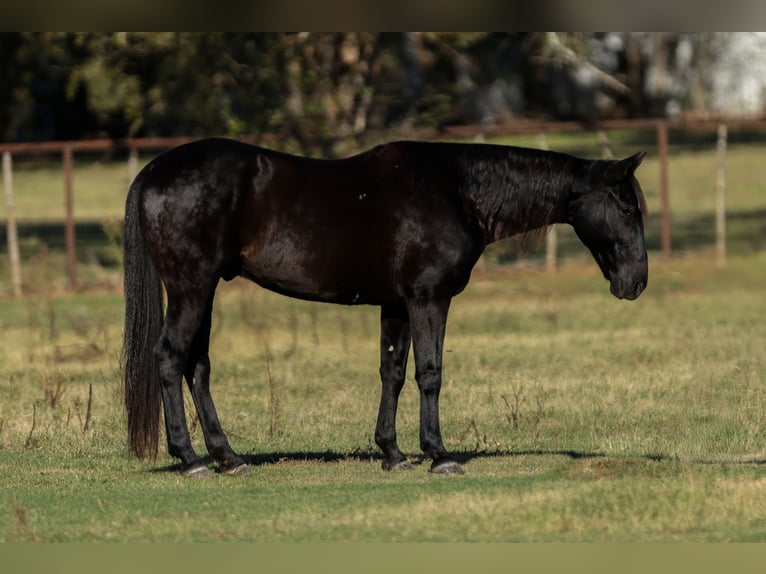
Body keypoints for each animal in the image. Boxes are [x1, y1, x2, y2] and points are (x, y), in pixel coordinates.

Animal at [122, 137, 648, 477]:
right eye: (626, 208)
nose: (637, 282)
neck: (457, 189)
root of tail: (153, 172)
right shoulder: (428, 298)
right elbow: (430, 373)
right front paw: (439, 455)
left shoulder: (396, 304)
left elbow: (391, 371)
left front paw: (393, 453)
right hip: (191, 288)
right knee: (170, 358)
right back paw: (191, 460)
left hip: (203, 290)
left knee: (198, 366)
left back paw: (228, 458)